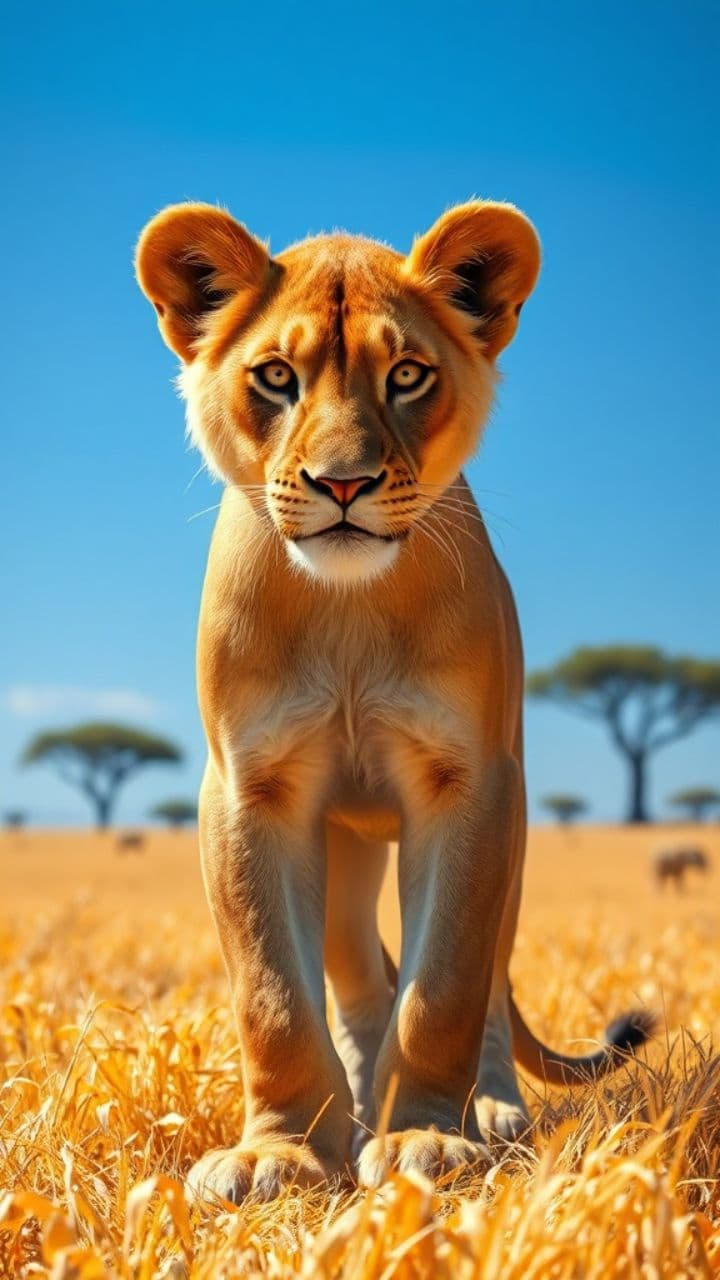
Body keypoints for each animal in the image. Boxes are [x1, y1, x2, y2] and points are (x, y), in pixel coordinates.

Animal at [135, 200, 653, 1202]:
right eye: (277, 376)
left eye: (407, 374)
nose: (344, 484)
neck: (347, 612)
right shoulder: (250, 790)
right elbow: (274, 994)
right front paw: (283, 1150)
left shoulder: (471, 784)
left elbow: (445, 984)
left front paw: (427, 1139)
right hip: (343, 845)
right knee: (356, 978)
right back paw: (356, 1099)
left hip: (513, 826)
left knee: (485, 983)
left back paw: (488, 1109)